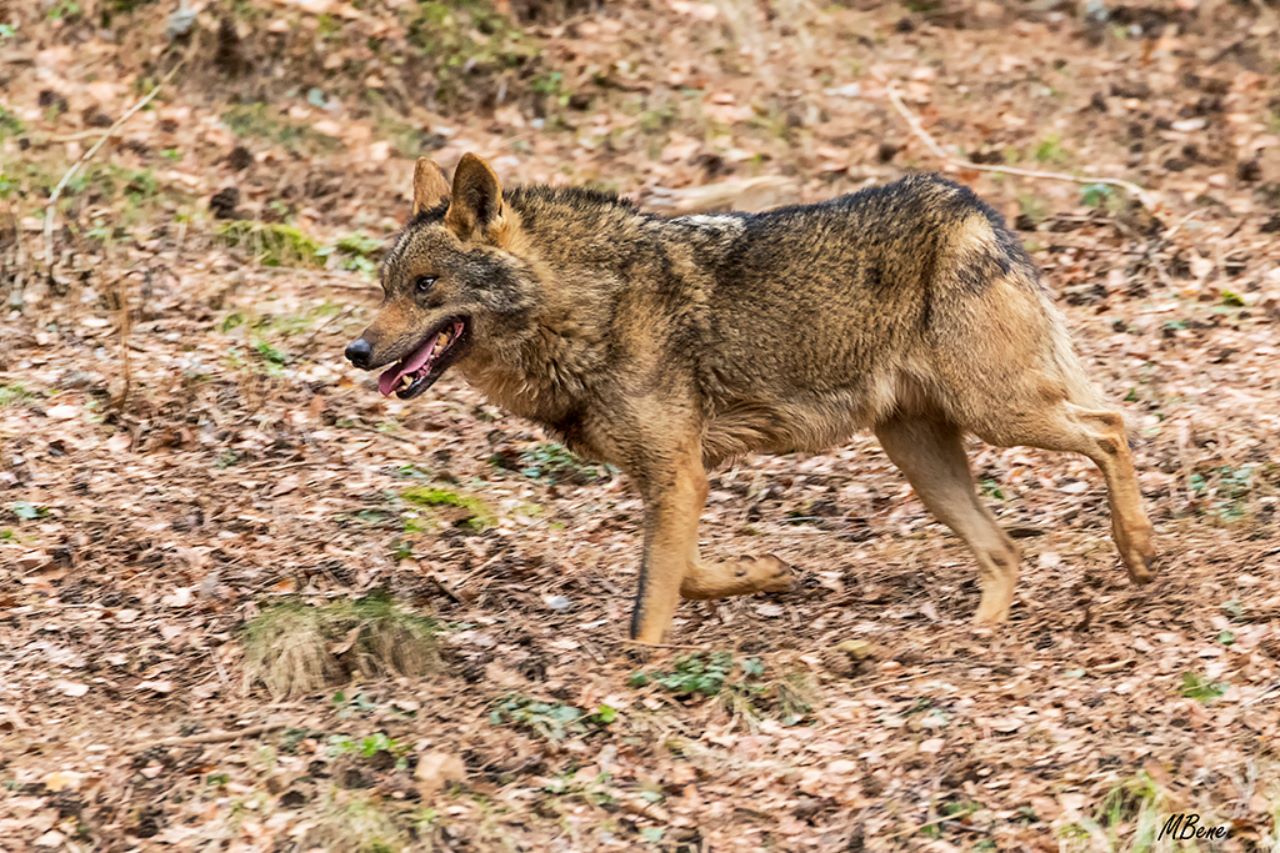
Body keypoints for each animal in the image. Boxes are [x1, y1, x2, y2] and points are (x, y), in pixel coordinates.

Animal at [344, 154, 1157, 644]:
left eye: (425, 287)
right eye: (384, 289)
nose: (355, 352)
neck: (584, 306)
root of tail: (971, 206)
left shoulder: (678, 476)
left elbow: (651, 602)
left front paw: (635, 680)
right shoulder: (676, 479)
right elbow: (686, 574)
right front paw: (765, 574)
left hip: (998, 414)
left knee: (1111, 425)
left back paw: (1138, 548)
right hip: (924, 457)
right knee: (1005, 550)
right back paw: (982, 634)